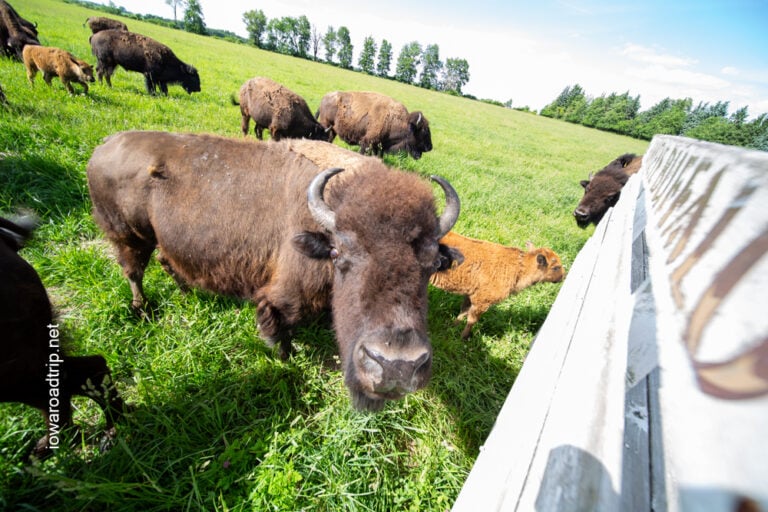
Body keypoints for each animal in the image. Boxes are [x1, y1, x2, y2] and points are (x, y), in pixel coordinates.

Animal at [86, 132, 462, 412]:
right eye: (339, 253)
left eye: (432, 264)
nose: (398, 364)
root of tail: (103, 146)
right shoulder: (284, 294)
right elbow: (279, 323)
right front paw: (286, 358)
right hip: (129, 236)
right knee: (133, 270)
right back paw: (142, 310)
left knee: (165, 263)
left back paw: (186, 293)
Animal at [429, 231, 565, 339]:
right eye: (556, 267)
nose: (563, 276)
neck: (519, 269)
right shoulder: (482, 301)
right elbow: (471, 320)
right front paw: (463, 337)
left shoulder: (470, 294)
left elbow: (463, 312)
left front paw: (452, 326)